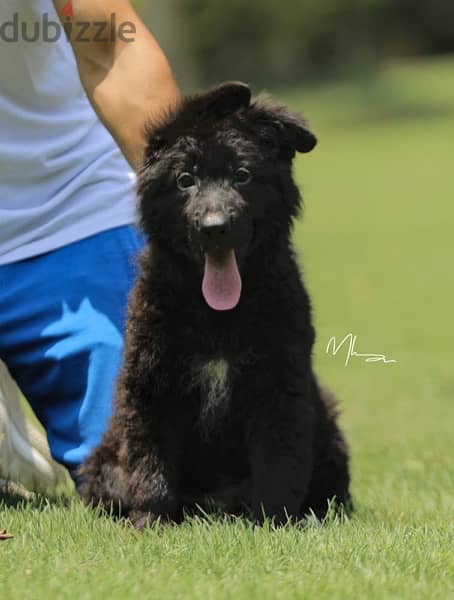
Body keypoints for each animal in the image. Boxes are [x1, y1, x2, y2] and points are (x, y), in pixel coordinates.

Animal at [79, 82, 352, 528]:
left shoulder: (280, 386)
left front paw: (274, 524)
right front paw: (149, 524)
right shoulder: (149, 386)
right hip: (104, 459)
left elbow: (279, 465)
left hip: (327, 431)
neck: (216, 317)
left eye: (242, 175)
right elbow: (150, 463)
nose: (214, 228)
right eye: (185, 180)